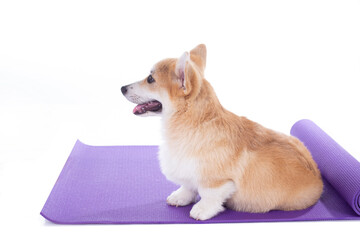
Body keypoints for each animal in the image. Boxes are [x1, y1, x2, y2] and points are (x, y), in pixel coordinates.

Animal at [121, 44, 324, 220]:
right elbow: (188, 186)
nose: (122, 88)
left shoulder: (218, 181)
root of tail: (319, 181)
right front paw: (180, 197)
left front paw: (201, 210)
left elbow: (209, 194)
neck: (190, 123)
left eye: (150, 79)